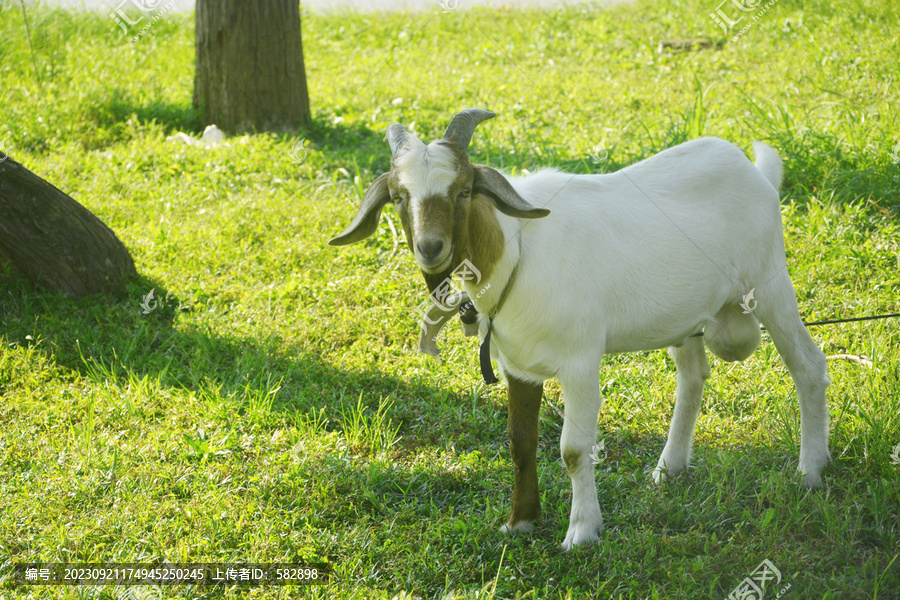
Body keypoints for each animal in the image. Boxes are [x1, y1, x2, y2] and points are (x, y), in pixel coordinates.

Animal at [330, 109, 828, 552]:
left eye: (465, 190)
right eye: (398, 196)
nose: (431, 248)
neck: (517, 251)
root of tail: (754, 171)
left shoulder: (581, 361)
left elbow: (573, 449)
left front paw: (582, 532)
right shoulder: (519, 366)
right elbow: (521, 440)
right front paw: (521, 521)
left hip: (770, 285)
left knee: (808, 365)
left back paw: (810, 471)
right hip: (688, 318)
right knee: (693, 376)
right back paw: (668, 469)